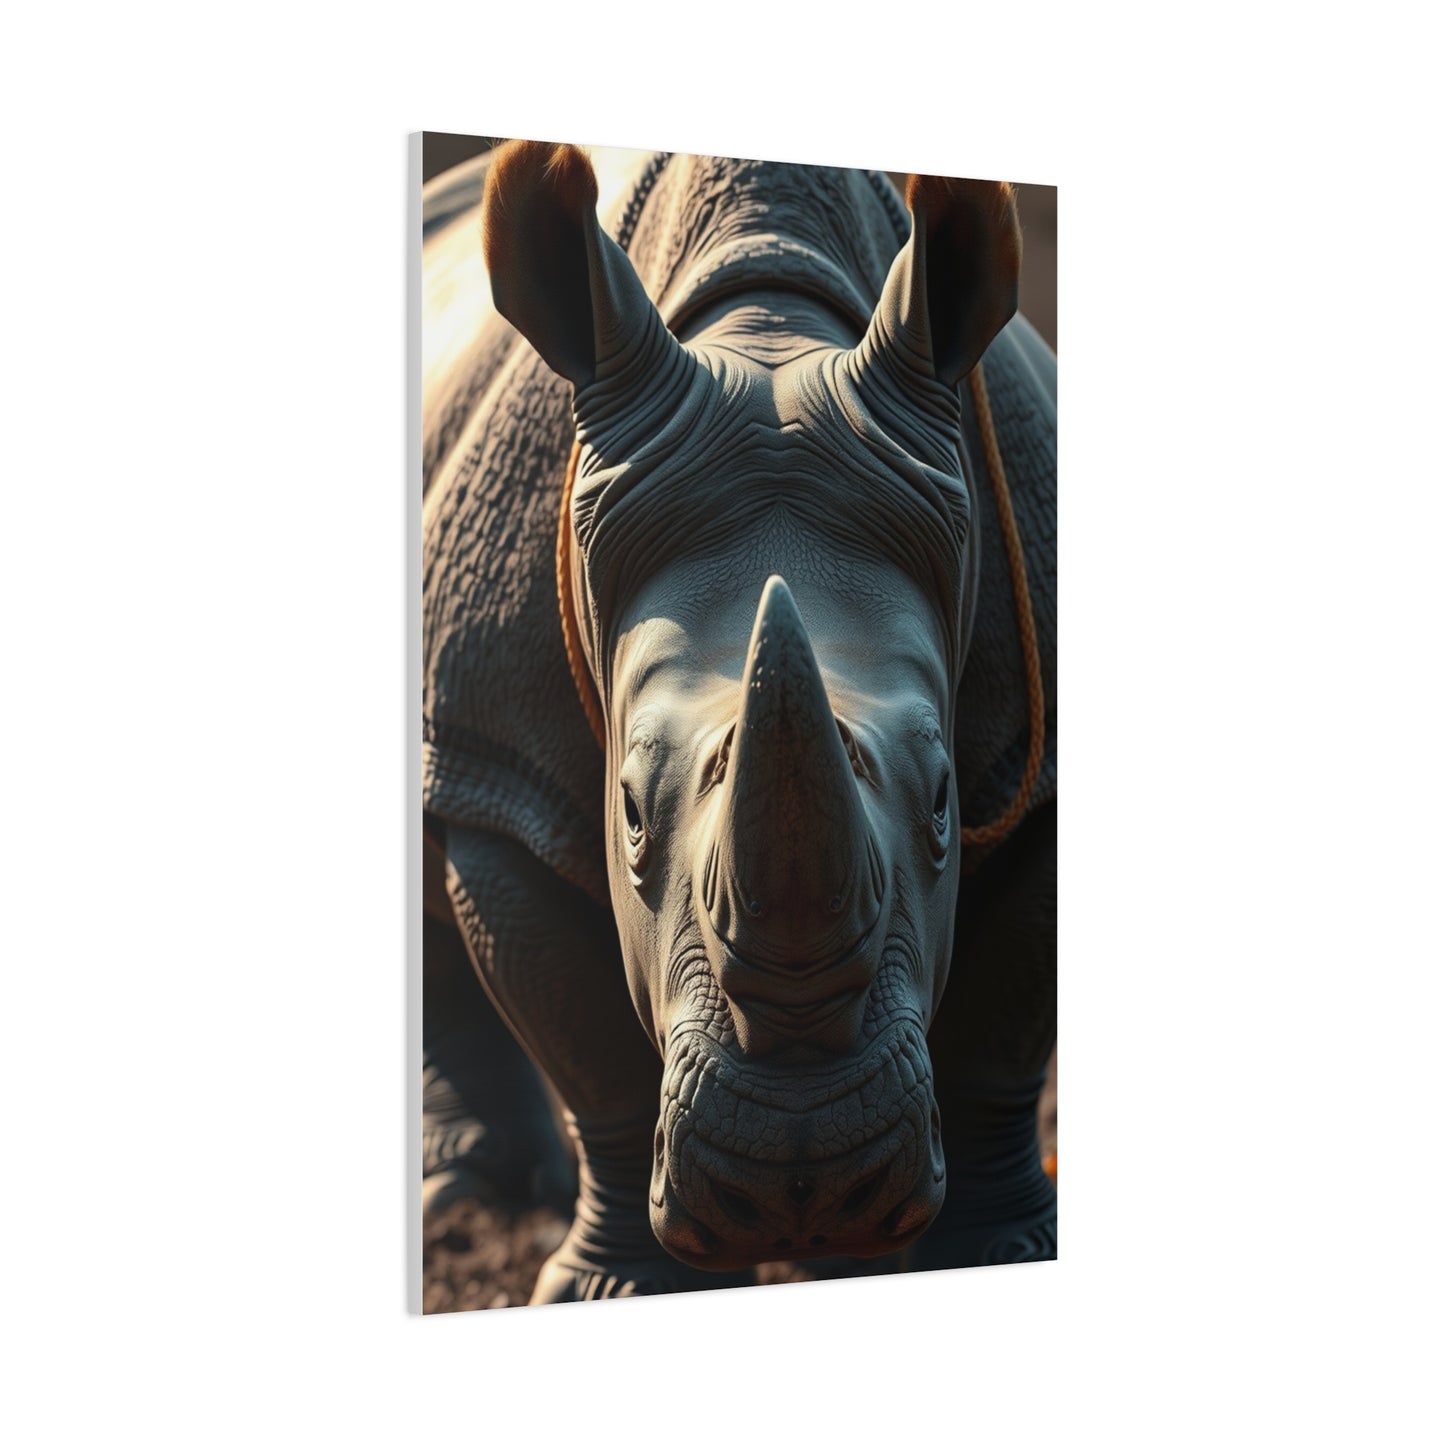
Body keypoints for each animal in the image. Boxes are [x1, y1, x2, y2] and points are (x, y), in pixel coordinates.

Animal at [421, 139, 1057, 1303]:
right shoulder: (502, 762)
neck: (765, 327)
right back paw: (468, 1198)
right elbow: (589, 1049)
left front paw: (999, 1254)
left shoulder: (1027, 766)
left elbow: (1005, 1020)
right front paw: (611, 1292)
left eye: (945, 798)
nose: (803, 1184)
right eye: (628, 809)